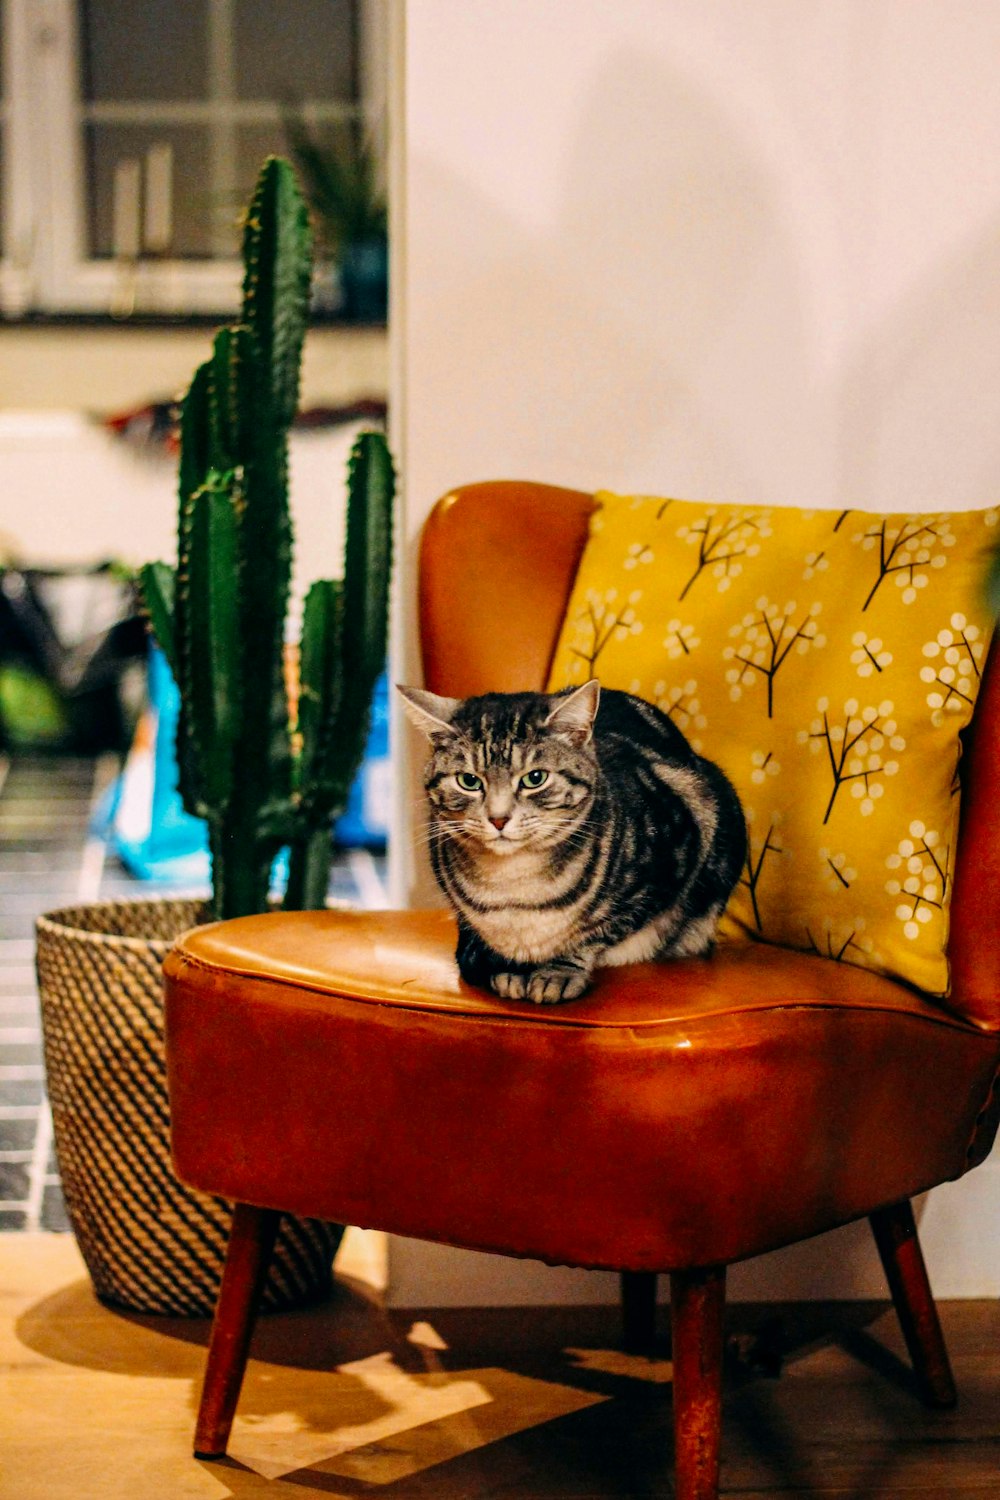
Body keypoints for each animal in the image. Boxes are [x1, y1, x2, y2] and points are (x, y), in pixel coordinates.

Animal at [395, 687, 743, 1002]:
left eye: (535, 778)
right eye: (469, 781)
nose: (498, 818)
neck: (514, 889)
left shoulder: (670, 866)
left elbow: (602, 930)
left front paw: (558, 970)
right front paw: (511, 968)